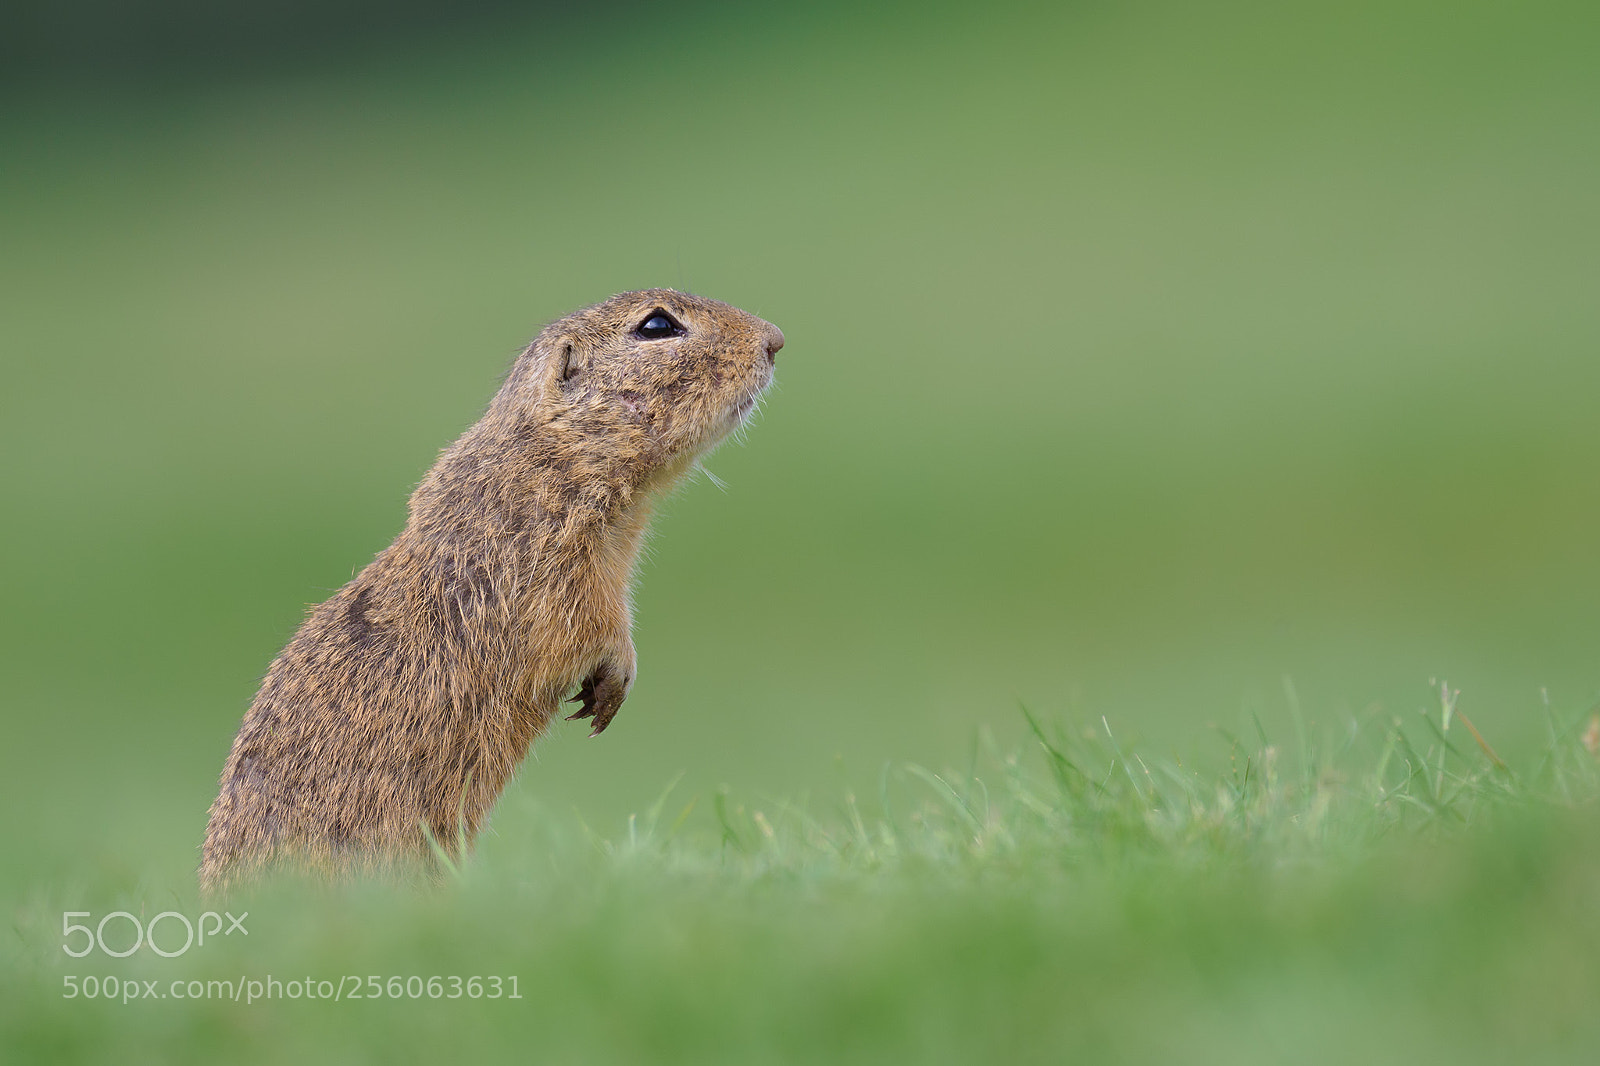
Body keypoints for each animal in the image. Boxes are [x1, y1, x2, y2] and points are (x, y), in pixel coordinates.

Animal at [200, 289, 783, 891]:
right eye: (658, 326)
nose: (775, 339)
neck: (551, 454)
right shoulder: (551, 563)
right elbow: (583, 625)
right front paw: (617, 676)